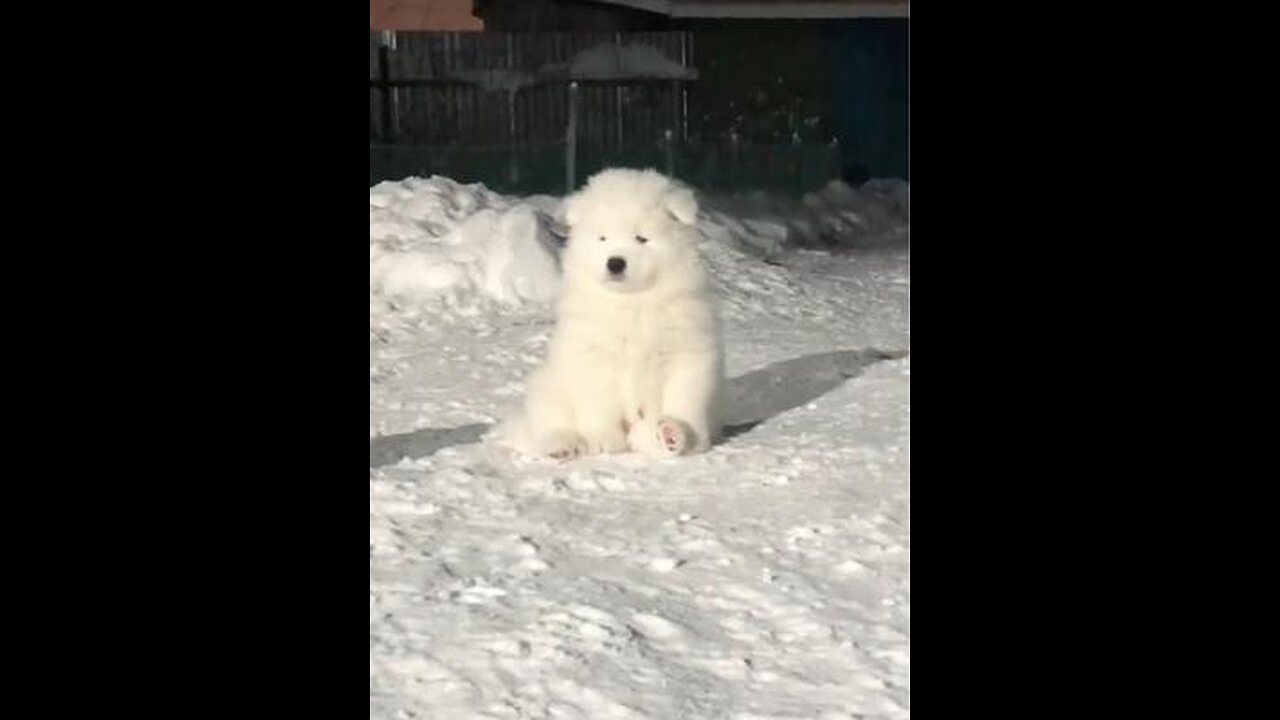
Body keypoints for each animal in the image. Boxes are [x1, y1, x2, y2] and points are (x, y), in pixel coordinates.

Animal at [496, 167, 721, 456]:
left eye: (641, 238)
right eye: (602, 238)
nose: (615, 263)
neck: (630, 302)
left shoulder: (685, 349)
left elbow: (683, 398)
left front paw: (679, 433)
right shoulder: (592, 355)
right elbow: (599, 403)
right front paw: (604, 439)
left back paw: (665, 436)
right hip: (549, 385)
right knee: (550, 421)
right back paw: (563, 444)